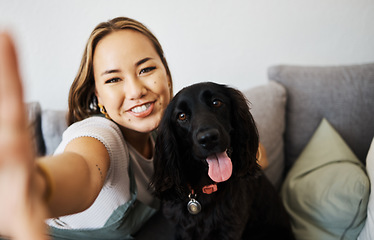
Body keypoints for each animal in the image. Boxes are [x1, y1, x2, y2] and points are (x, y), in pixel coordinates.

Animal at [152, 83, 296, 240]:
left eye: (216, 102)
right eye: (182, 116)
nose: (208, 138)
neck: (205, 188)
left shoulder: (231, 229)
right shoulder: (183, 230)